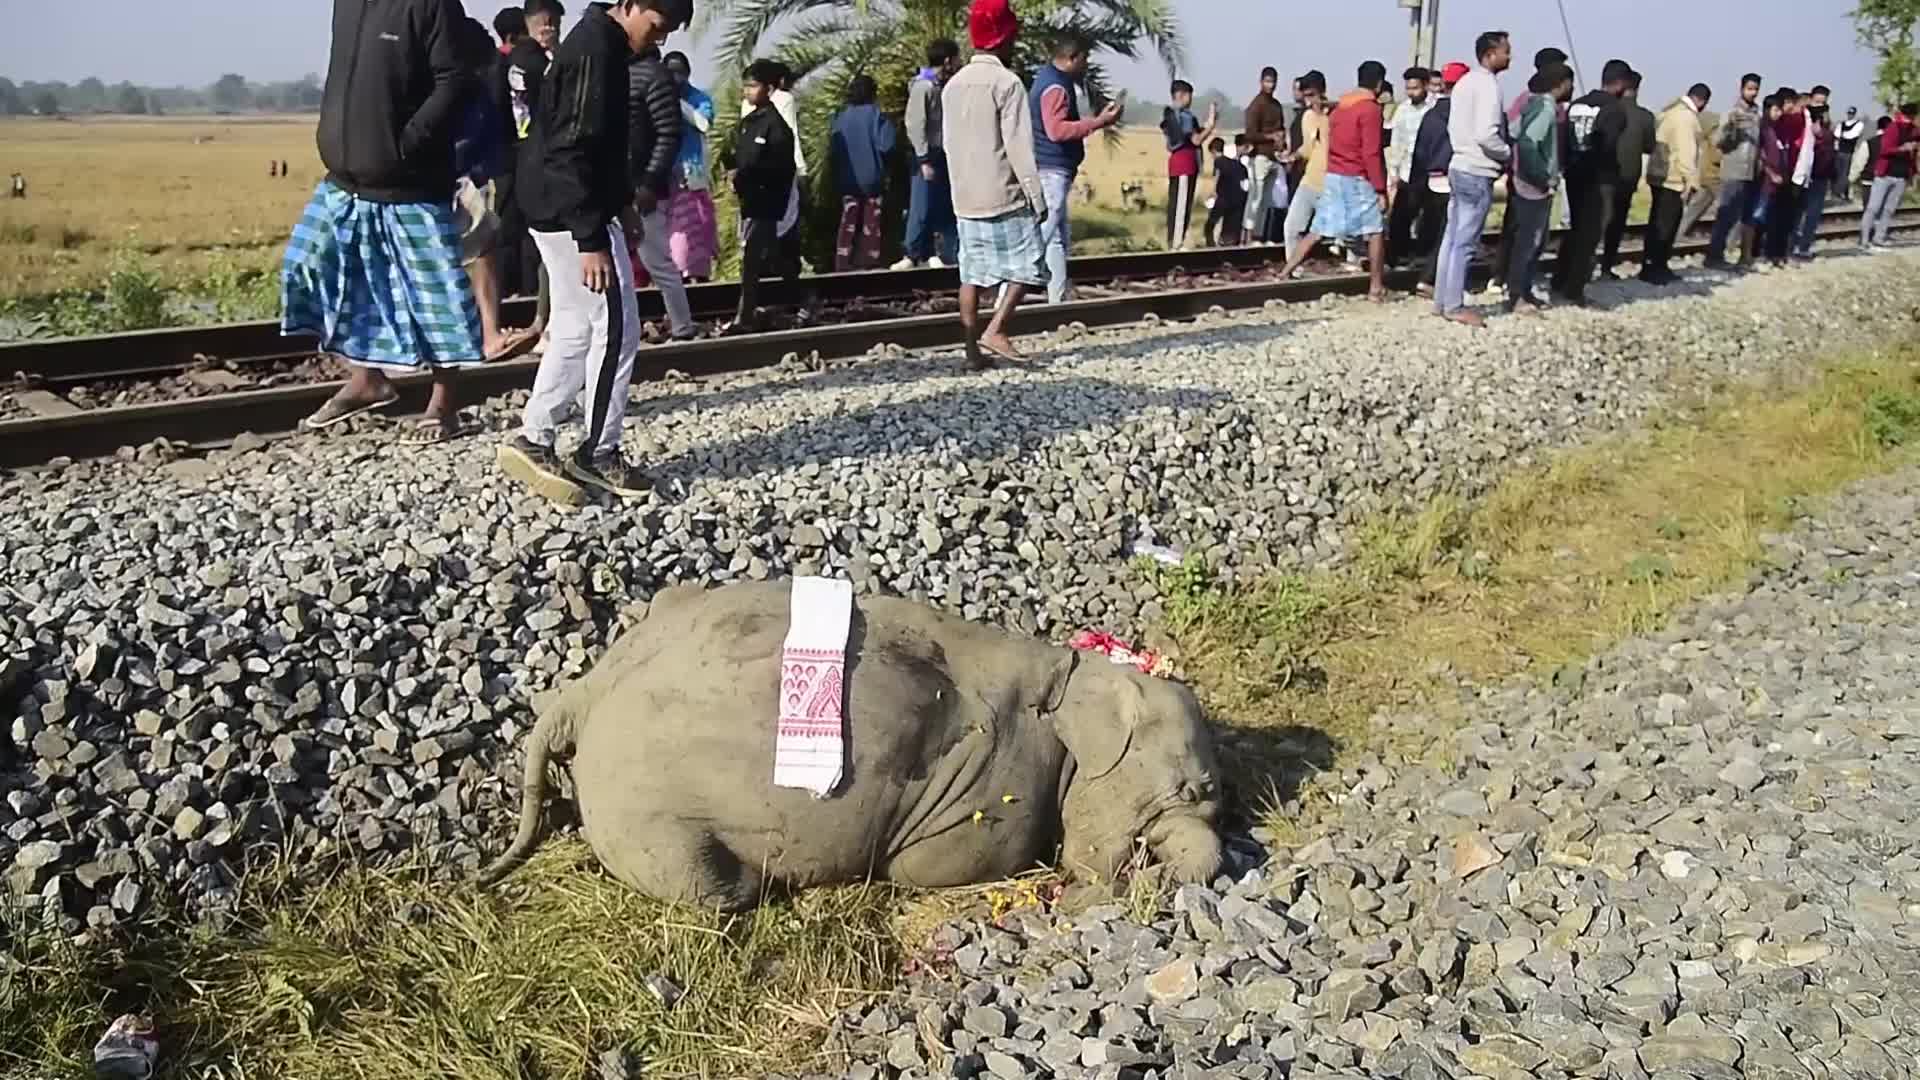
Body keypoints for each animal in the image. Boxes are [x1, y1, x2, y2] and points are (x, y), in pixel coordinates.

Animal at [477, 581, 1226, 911]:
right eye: (1194, 788)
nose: (1157, 878)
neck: (1069, 673)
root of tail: (579, 694)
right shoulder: (994, 787)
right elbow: (924, 867)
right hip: (638, 807)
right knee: (714, 889)